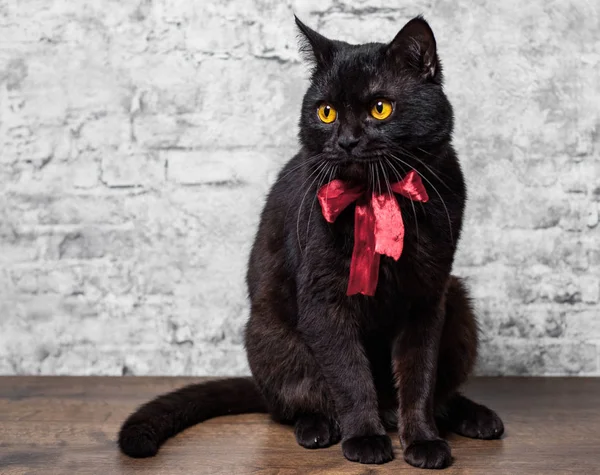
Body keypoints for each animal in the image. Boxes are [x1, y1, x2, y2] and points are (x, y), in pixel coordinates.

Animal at [117, 15, 502, 472]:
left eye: (380, 107)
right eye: (326, 111)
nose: (346, 140)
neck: (378, 199)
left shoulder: (427, 296)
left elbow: (419, 378)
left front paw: (424, 441)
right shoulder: (324, 299)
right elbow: (350, 376)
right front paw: (365, 439)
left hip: (458, 300)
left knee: (441, 393)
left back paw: (475, 418)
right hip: (269, 333)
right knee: (295, 402)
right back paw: (319, 428)